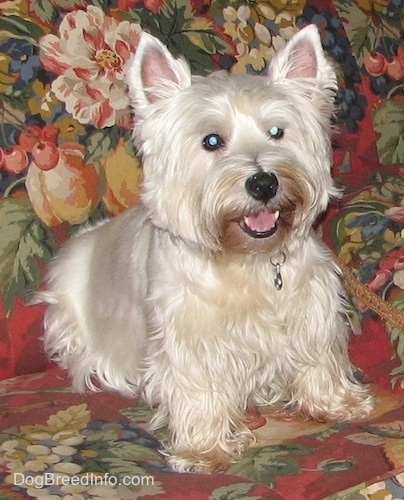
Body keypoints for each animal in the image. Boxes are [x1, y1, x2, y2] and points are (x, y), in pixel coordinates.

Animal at [39, 26, 374, 472]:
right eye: (212, 141)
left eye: (277, 132)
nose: (264, 183)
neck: (244, 258)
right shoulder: (187, 334)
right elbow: (198, 390)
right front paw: (204, 450)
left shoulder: (312, 305)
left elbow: (319, 355)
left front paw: (338, 403)